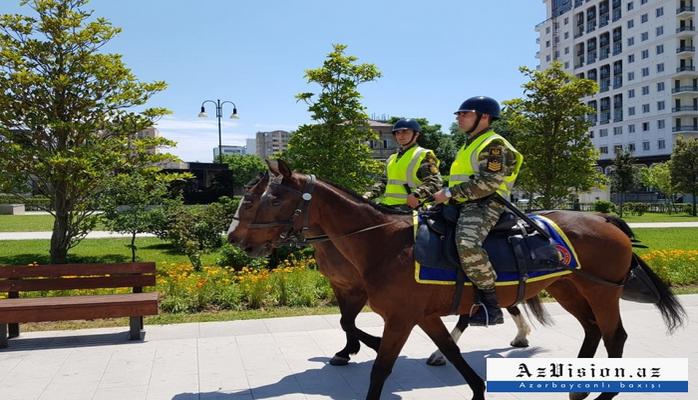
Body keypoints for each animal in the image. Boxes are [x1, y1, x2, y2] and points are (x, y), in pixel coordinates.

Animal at [234, 173, 532, 368]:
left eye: (270, 200)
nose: (236, 239)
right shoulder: (341, 286)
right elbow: (345, 321)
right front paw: (348, 351)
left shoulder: (360, 290)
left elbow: (348, 321)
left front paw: (371, 345)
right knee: (504, 302)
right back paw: (518, 334)